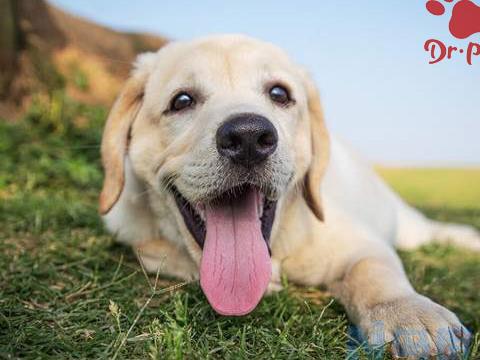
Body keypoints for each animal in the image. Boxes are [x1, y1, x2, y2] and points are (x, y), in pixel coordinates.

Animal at [99, 35, 478, 358]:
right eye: (181, 101)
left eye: (279, 94)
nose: (248, 137)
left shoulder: (357, 241)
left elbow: (375, 271)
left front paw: (409, 314)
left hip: (408, 224)